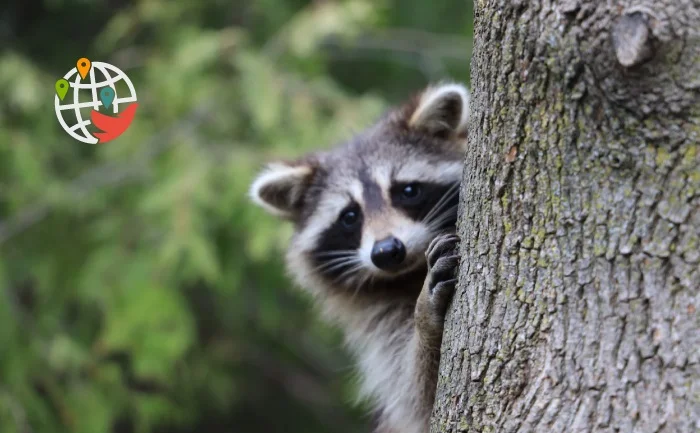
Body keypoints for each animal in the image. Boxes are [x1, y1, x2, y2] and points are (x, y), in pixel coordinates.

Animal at [247, 82, 470, 432]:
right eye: (350, 216)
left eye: (407, 191)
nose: (387, 252)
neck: (410, 273)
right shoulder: (380, 319)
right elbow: (416, 400)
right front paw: (425, 319)